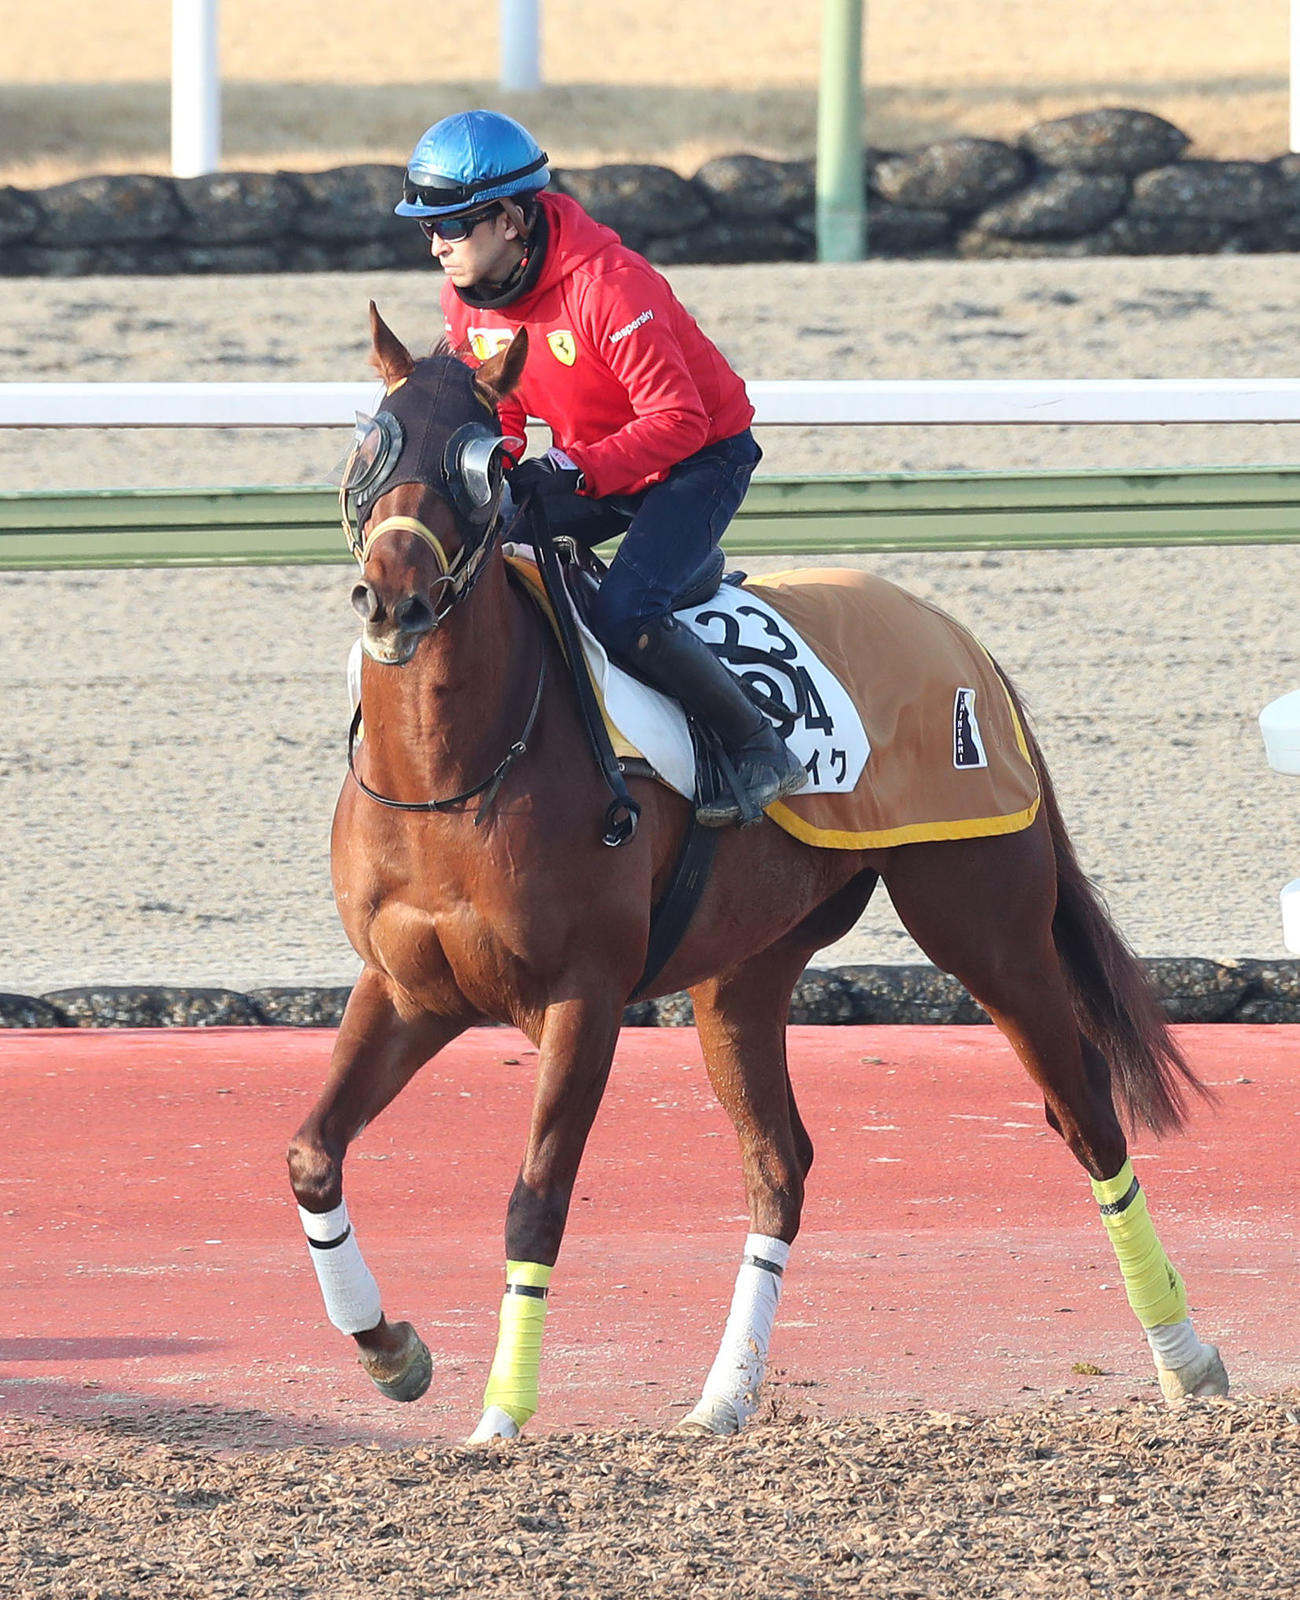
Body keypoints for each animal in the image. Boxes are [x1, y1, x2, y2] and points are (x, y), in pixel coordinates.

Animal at [287, 304, 1229, 1442]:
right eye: (367, 449)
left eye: (484, 460)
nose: (394, 601)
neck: (455, 773)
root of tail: (958, 637)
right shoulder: (408, 987)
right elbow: (314, 1153)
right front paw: (392, 1351)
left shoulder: (582, 997)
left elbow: (536, 1199)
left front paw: (502, 1414)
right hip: (742, 973)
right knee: (779, 1165)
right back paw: (724, 1394)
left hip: (985, 922)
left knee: (1084, 1109)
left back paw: (1186, 1357)